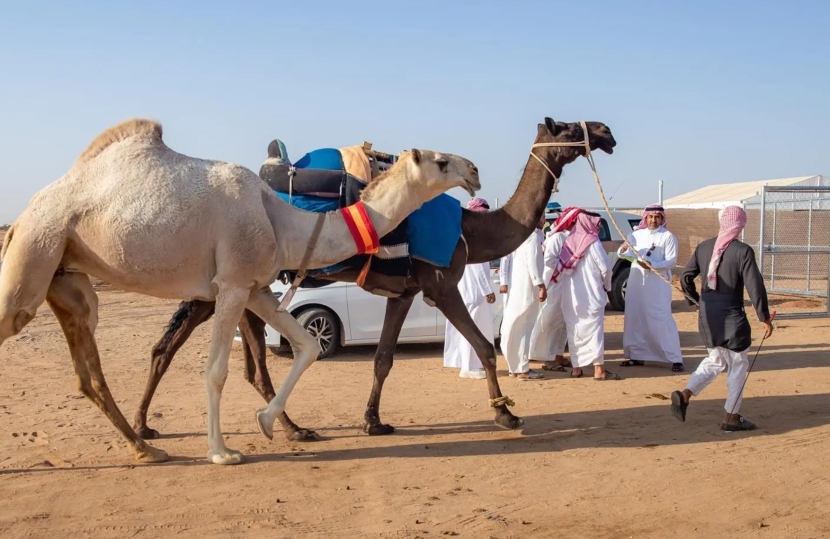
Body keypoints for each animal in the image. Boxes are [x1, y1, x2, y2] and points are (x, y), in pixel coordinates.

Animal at [0, 118, 480, 464]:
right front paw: (221, 452)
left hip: (66, 278)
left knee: (89, 372)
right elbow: (216, 370)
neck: (282, 220)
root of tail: (21, 218)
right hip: (35, 251)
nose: (474, 170)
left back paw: (147, 448)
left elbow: (306, 345)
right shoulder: (230, 285)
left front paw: (269, 422)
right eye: (440, 162)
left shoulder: (255, 288)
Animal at [133, 116, 616, 440]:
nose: (606, 132)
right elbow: (482, 345)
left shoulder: (403, 291)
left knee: (184, 350)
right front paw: (506, 414)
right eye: (566, 126)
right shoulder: (440, 284)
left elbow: (383, 358)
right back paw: (289, 428)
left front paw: (374, 421)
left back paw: (145, 428)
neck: (469, 230)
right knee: (214, 357)